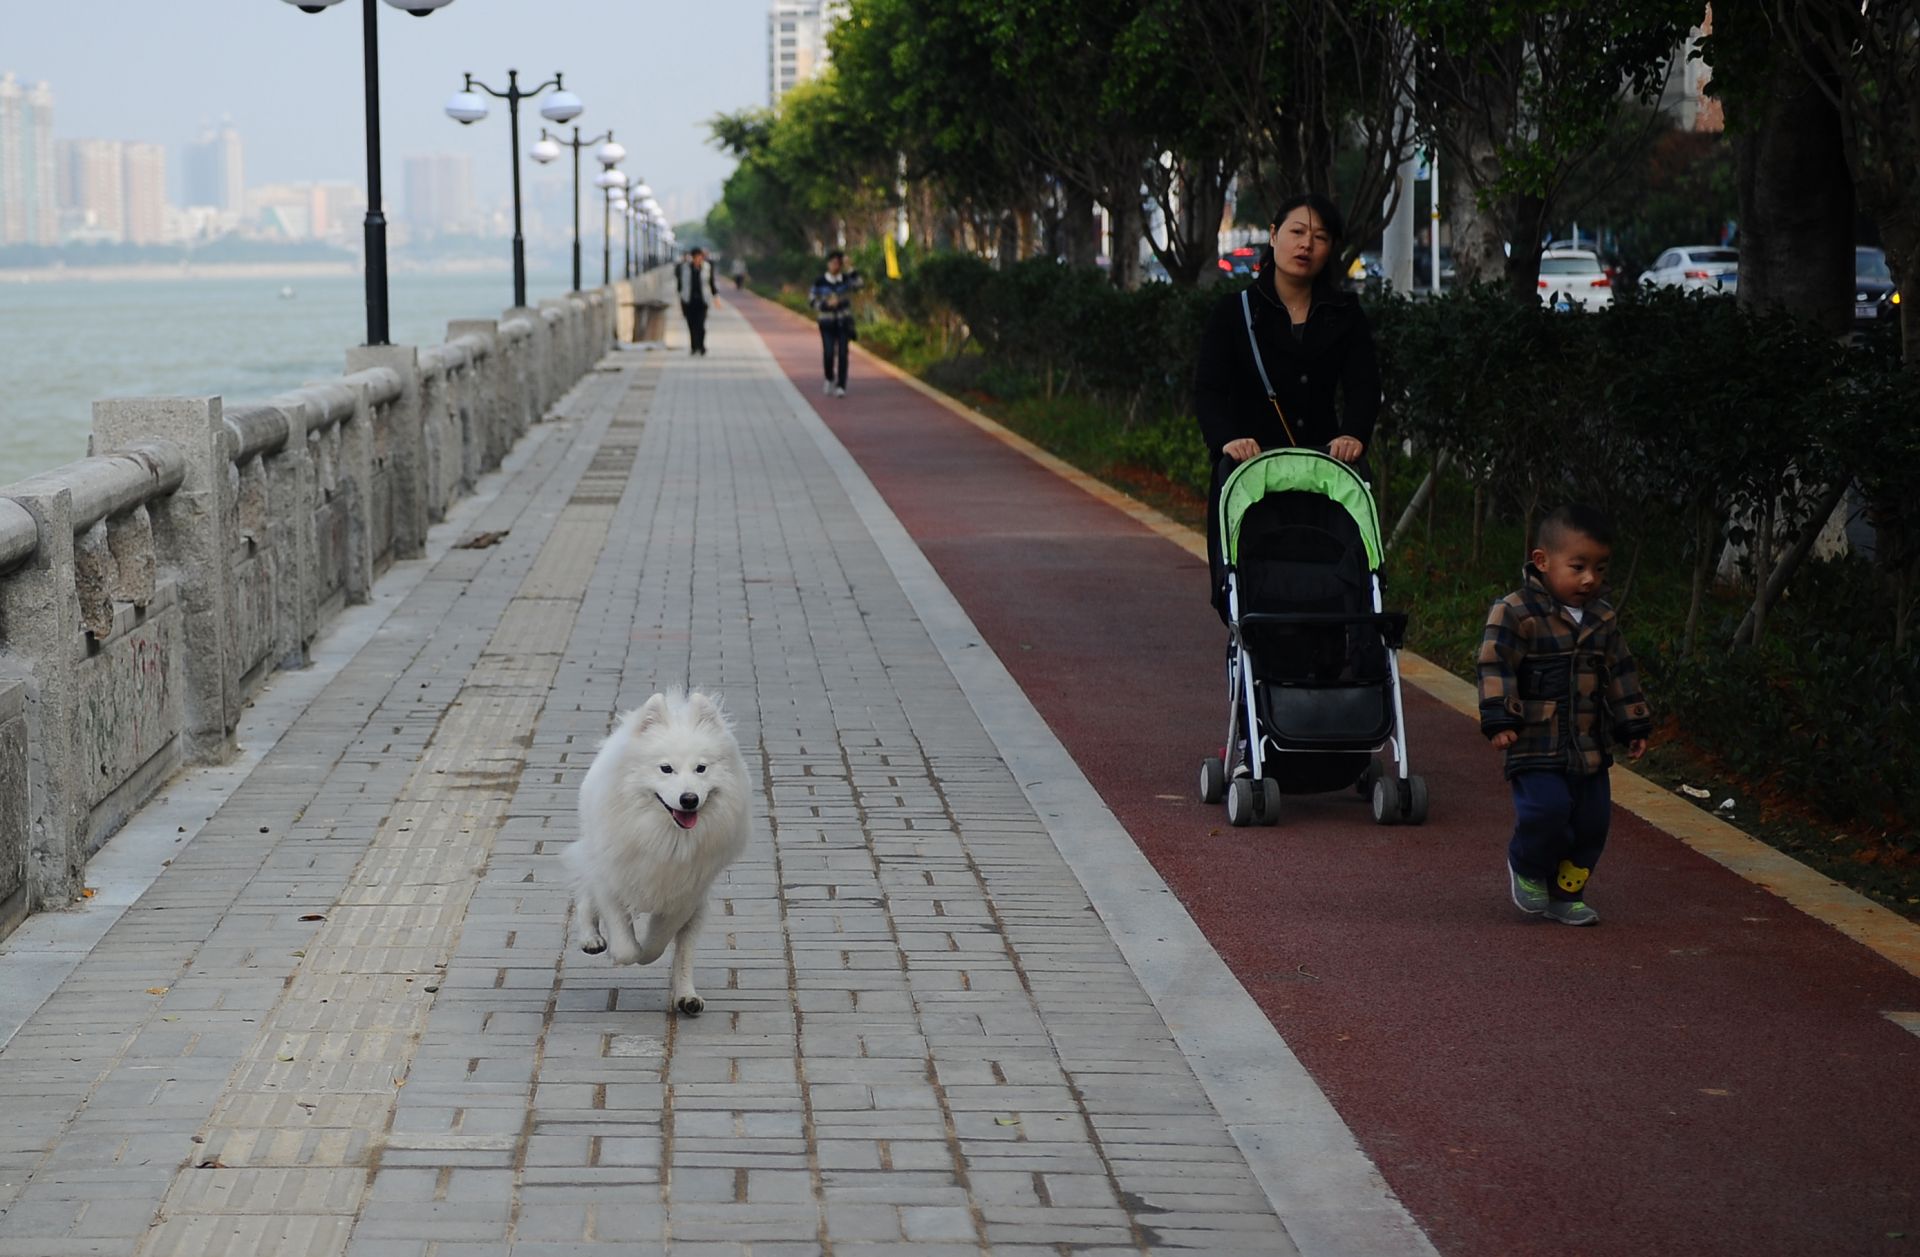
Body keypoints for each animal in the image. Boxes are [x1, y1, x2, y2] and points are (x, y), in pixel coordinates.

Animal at [560, 694, 748, 1020]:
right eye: (666, 769)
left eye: (701, 768)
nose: (689, 799)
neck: (667, 837)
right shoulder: (611, 881)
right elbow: (626, 946)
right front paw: (622, 949)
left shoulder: (686, 898)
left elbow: (660, 943)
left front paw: (650, 950)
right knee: (585, 892)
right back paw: (591, 938)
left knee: (684, 952)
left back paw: (687, 997)